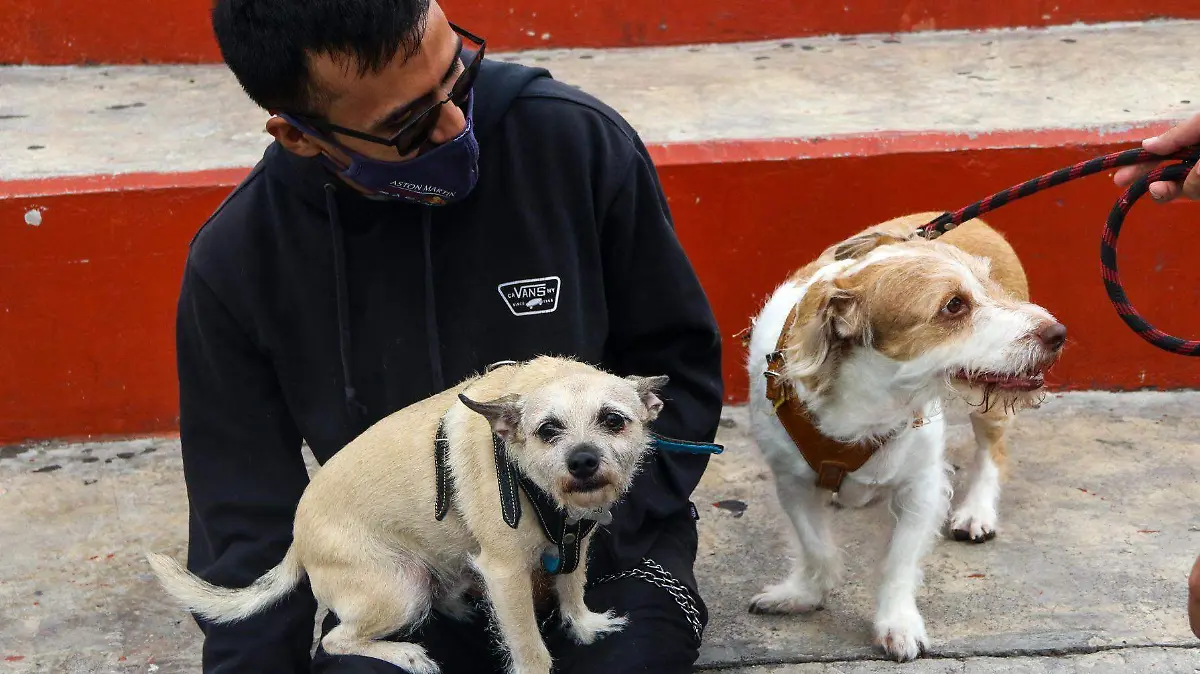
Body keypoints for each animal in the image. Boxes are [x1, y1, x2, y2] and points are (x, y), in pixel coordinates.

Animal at [145, 352, 667, 671]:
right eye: (547, 431)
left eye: (613, 421)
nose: (582, 461)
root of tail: (296, 538)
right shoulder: (506, 574)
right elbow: (529, 645)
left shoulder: (574, 543)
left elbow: (571, 589)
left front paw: (585, 625)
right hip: (401, 587)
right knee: (336, 640)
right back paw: (407, 653)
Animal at [739, 212, 1070, 657]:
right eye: (953, 305)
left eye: (989, 286)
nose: (1057, 333)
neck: (869, 401)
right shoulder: (792, 482)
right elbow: (815, 546)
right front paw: (804, 593)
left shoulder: (922, 486)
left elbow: (899, 562)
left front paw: (897, 622)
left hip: (992, 410)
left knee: (993, 454)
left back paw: (977, 510)